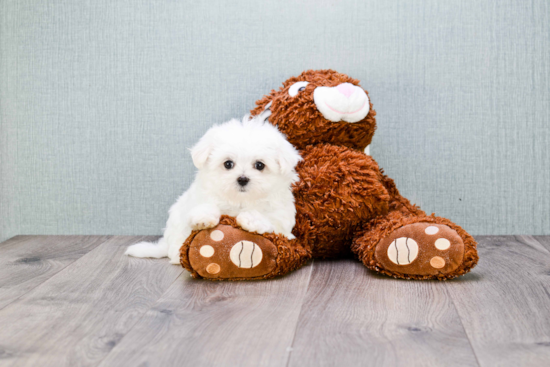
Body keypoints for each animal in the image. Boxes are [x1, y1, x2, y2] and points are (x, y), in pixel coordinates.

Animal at [125, 113, 302, 264]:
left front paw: (252, 219)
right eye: (228, 164)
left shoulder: (282, 218)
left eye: (260, 165)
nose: (242, 179)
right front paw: (203, 217)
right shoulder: (200, 198)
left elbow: (270, 220)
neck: (240, 201)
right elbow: (205, 207)